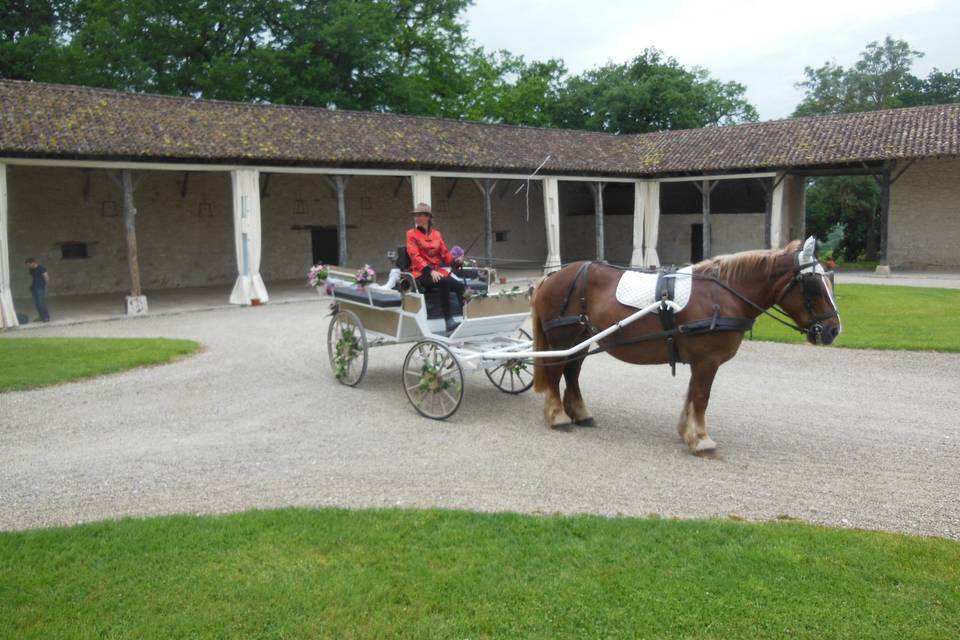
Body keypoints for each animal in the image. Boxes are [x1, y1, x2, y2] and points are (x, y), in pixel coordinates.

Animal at [532, 236, 840, 456]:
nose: (834, 330)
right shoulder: (707, 360)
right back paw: (557, 416)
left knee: (571, 372)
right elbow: (702, 398)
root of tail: (551, 277)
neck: (722, 295)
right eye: (813, 286)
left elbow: (693, 396)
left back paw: (580, 413)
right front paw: (701, 440)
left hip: (580, 340)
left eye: (829, 281)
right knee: (555, 372)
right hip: (562, 339)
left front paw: (687, 432)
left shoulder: (700, 360)